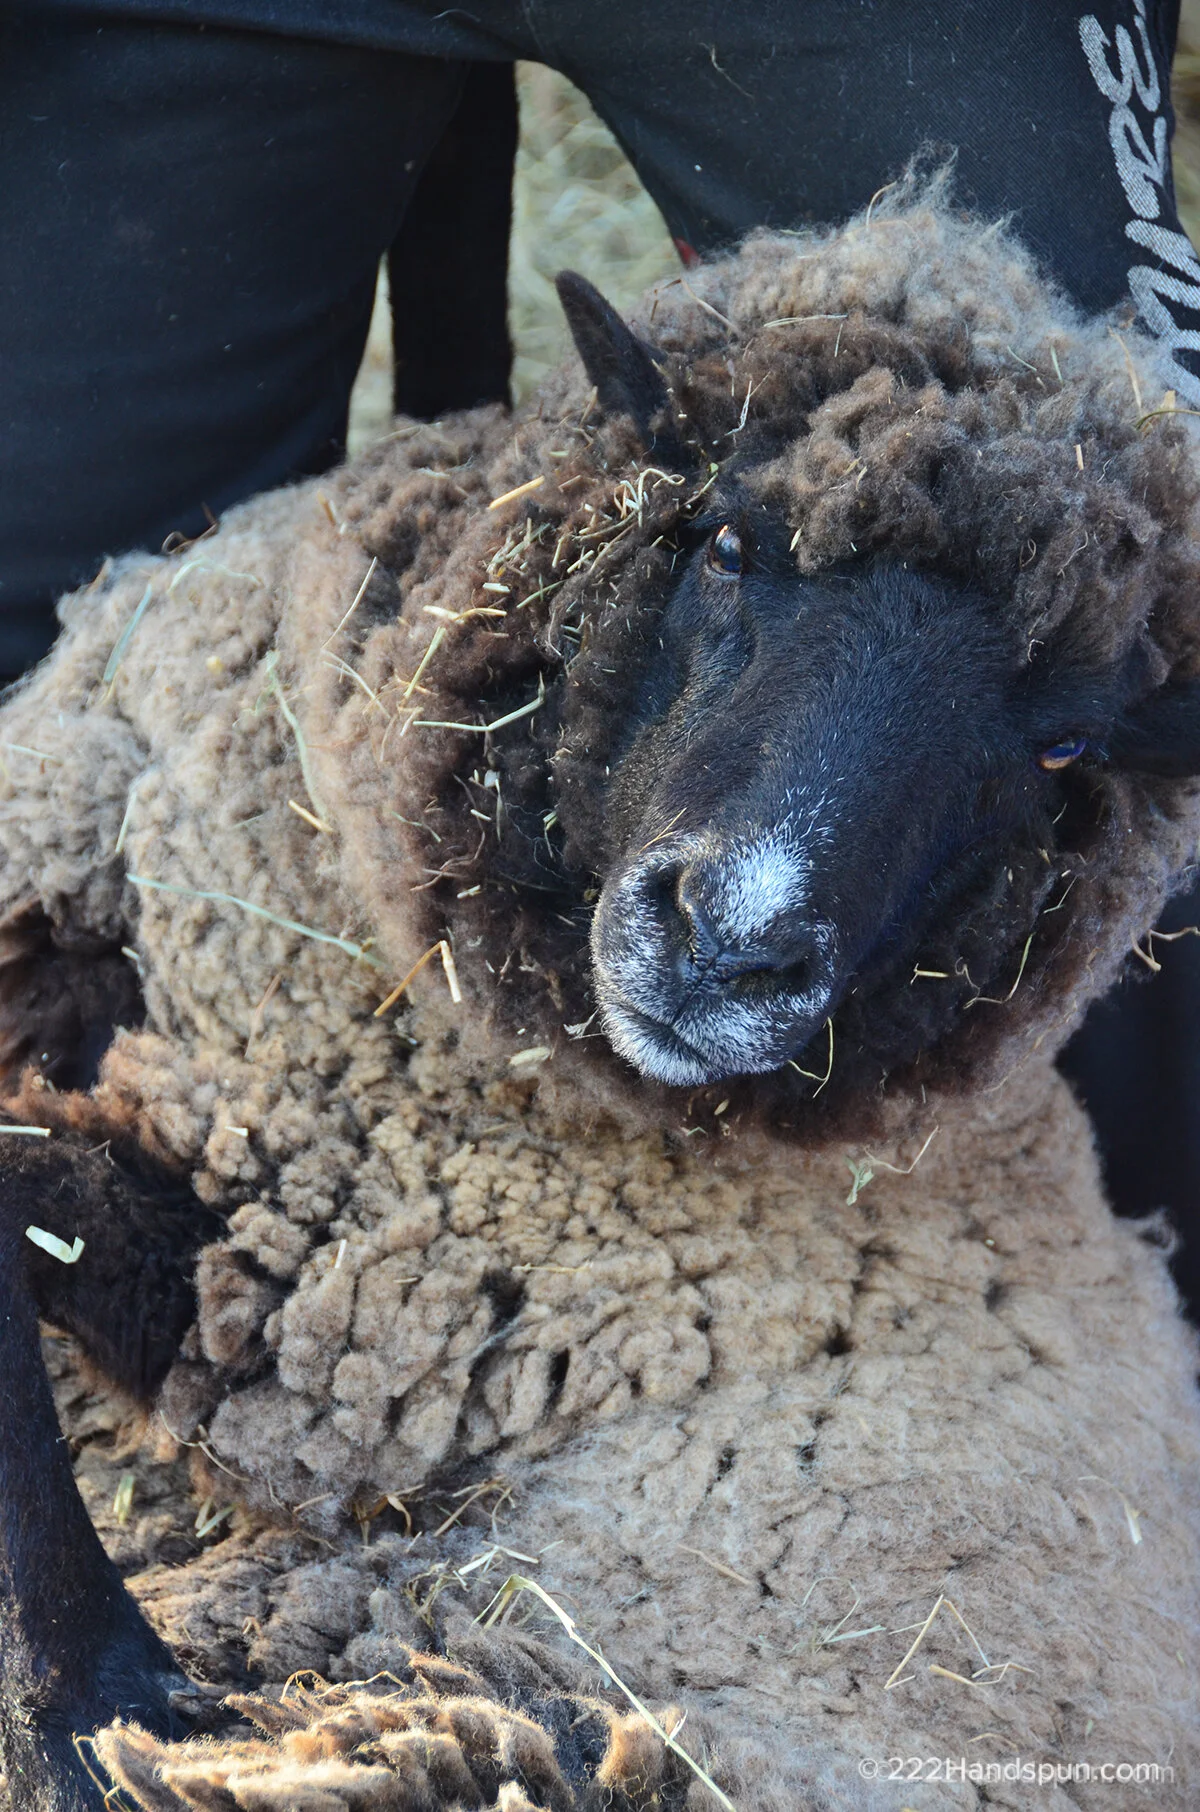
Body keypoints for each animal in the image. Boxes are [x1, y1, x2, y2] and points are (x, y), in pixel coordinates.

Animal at [2, 182, 1200, 1811]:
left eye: (1067, 748)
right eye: (731, 545)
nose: (731, 944)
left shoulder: (327, 1301)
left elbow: (27, 1211)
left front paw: (91, 1692)